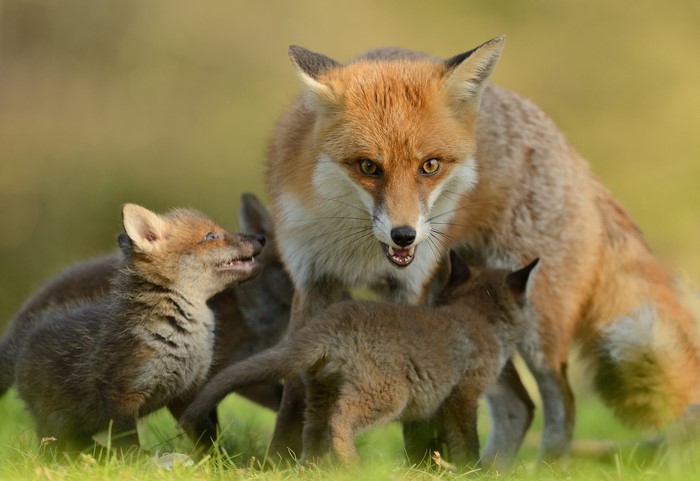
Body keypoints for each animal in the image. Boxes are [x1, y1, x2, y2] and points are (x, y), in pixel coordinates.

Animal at [181, 252, 540, 465]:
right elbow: (466, 440)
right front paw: (470, 469)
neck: (474, 318)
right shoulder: (463, 394)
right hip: (389, 395)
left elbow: (436, 439)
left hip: (320, 392)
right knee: (340, 419)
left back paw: (318, 468)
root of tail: (335, 319)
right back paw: (352, 465)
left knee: (314, 429)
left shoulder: (440, 404)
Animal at [264, 36, 700, 467]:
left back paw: (541, 469)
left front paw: (416, 461)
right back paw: (485, 470)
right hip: (477, 316)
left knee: (562, 404)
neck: (358, 249)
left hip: (534, 324)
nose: (404, 236)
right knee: (520, 407)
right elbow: (296, 381)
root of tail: (573, 156)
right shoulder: (312, 280)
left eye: (430, 166)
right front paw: (281, 459)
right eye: (368, 167)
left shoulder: (410, 287)